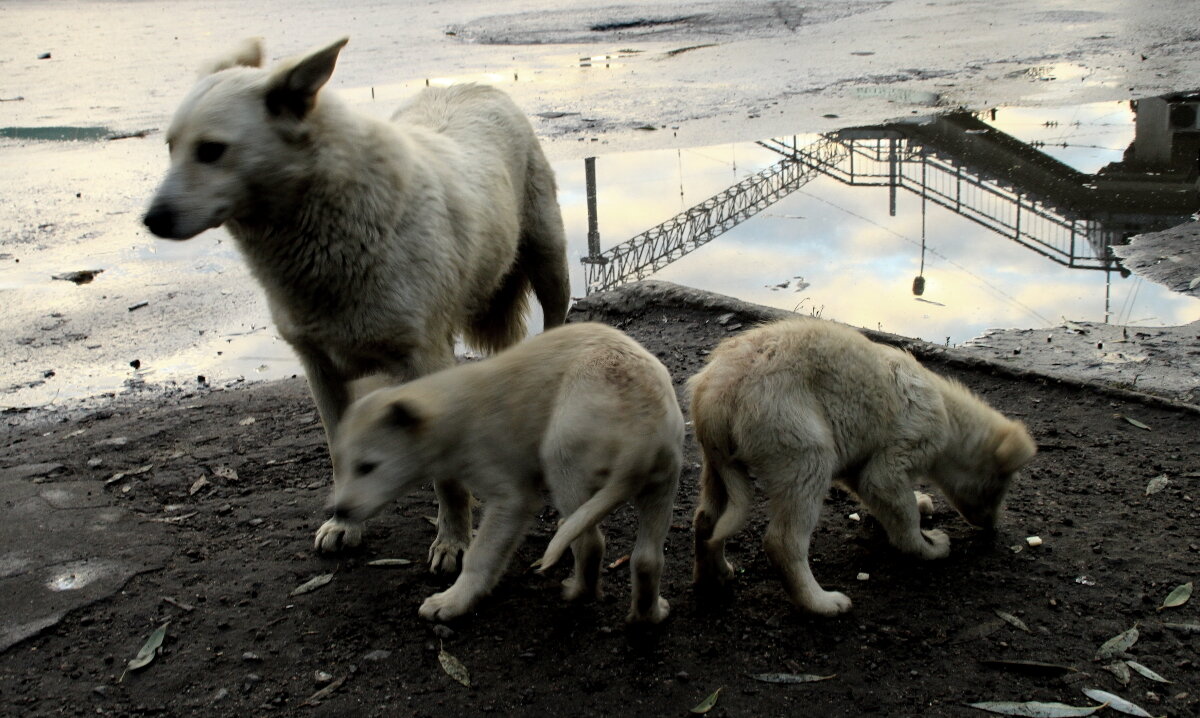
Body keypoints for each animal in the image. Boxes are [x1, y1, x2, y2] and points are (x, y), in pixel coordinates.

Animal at [328, 324, 686, 624]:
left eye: (367, 467)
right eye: (343, 463)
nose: (339, 510)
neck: (452, 411)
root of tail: (644, 430)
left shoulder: (512, 498)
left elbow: (481, 553)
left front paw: (452, 601)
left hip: (563, 460)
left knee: (590, 543)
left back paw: (577, 592)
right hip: (662, 482)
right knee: (646, 559)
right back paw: (649, 615)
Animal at [691, 321, 1036, 619]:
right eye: (998, 488)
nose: (992, 529)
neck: (950, 419)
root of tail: (719, 393)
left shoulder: (860, 467)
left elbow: (893, 505)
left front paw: (919, 503)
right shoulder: (893, 461)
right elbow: (904, 515)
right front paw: (928, 546)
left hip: (720, 467)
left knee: (707, 520)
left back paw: (714, 577)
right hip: (805, 453)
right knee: (783, 542)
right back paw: (821, 603)